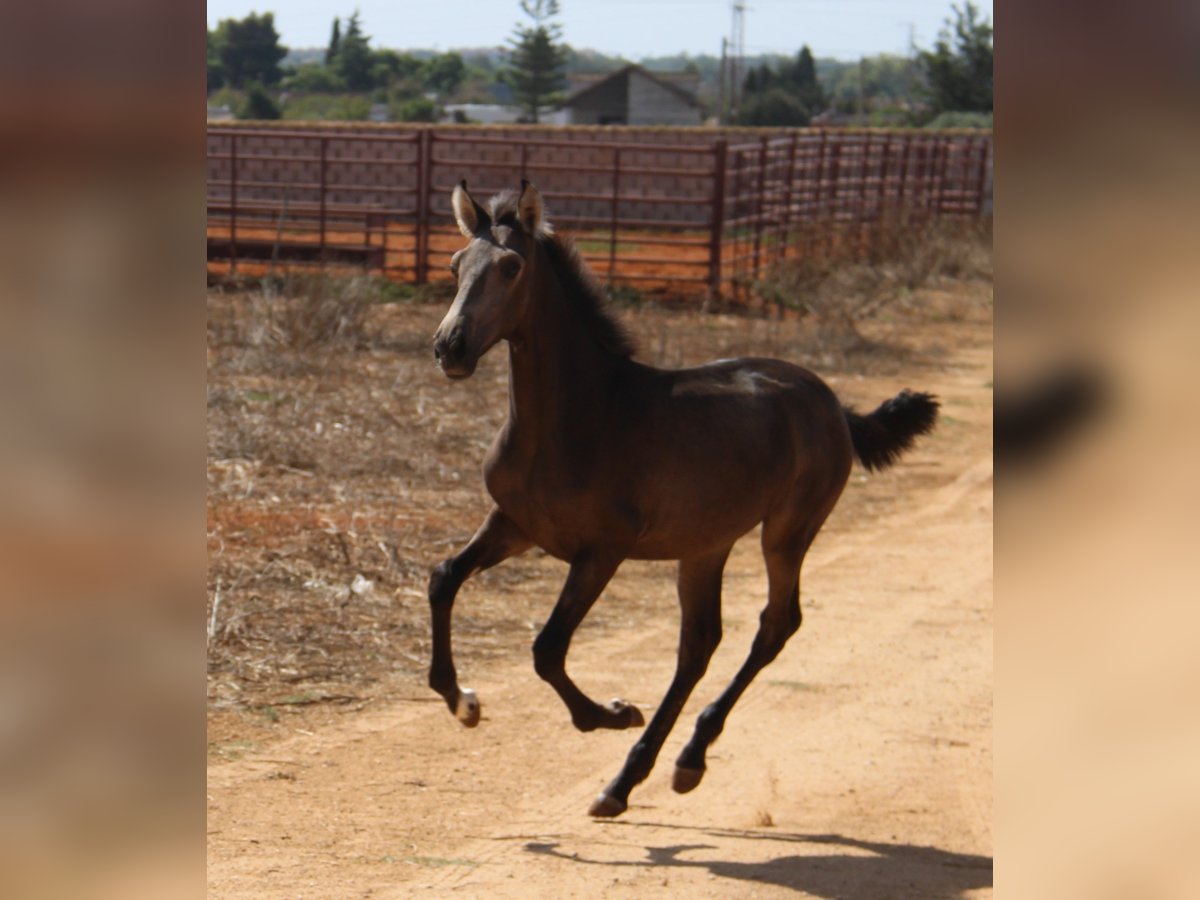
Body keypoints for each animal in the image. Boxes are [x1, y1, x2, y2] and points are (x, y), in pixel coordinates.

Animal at [427, 180, 940, 820]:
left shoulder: (601, 551)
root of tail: (832, 403)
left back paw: (679, 759)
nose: (450, 347)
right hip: (704, 547)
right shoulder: (513, 524)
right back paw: (633, 778)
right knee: (699, 644)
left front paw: (612, 713)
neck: (581, 418)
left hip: (788, 531)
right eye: (454, 265)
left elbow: (547, 648)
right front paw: (462, 700)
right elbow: (444, 578)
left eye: (511, 267)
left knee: (775, 623)